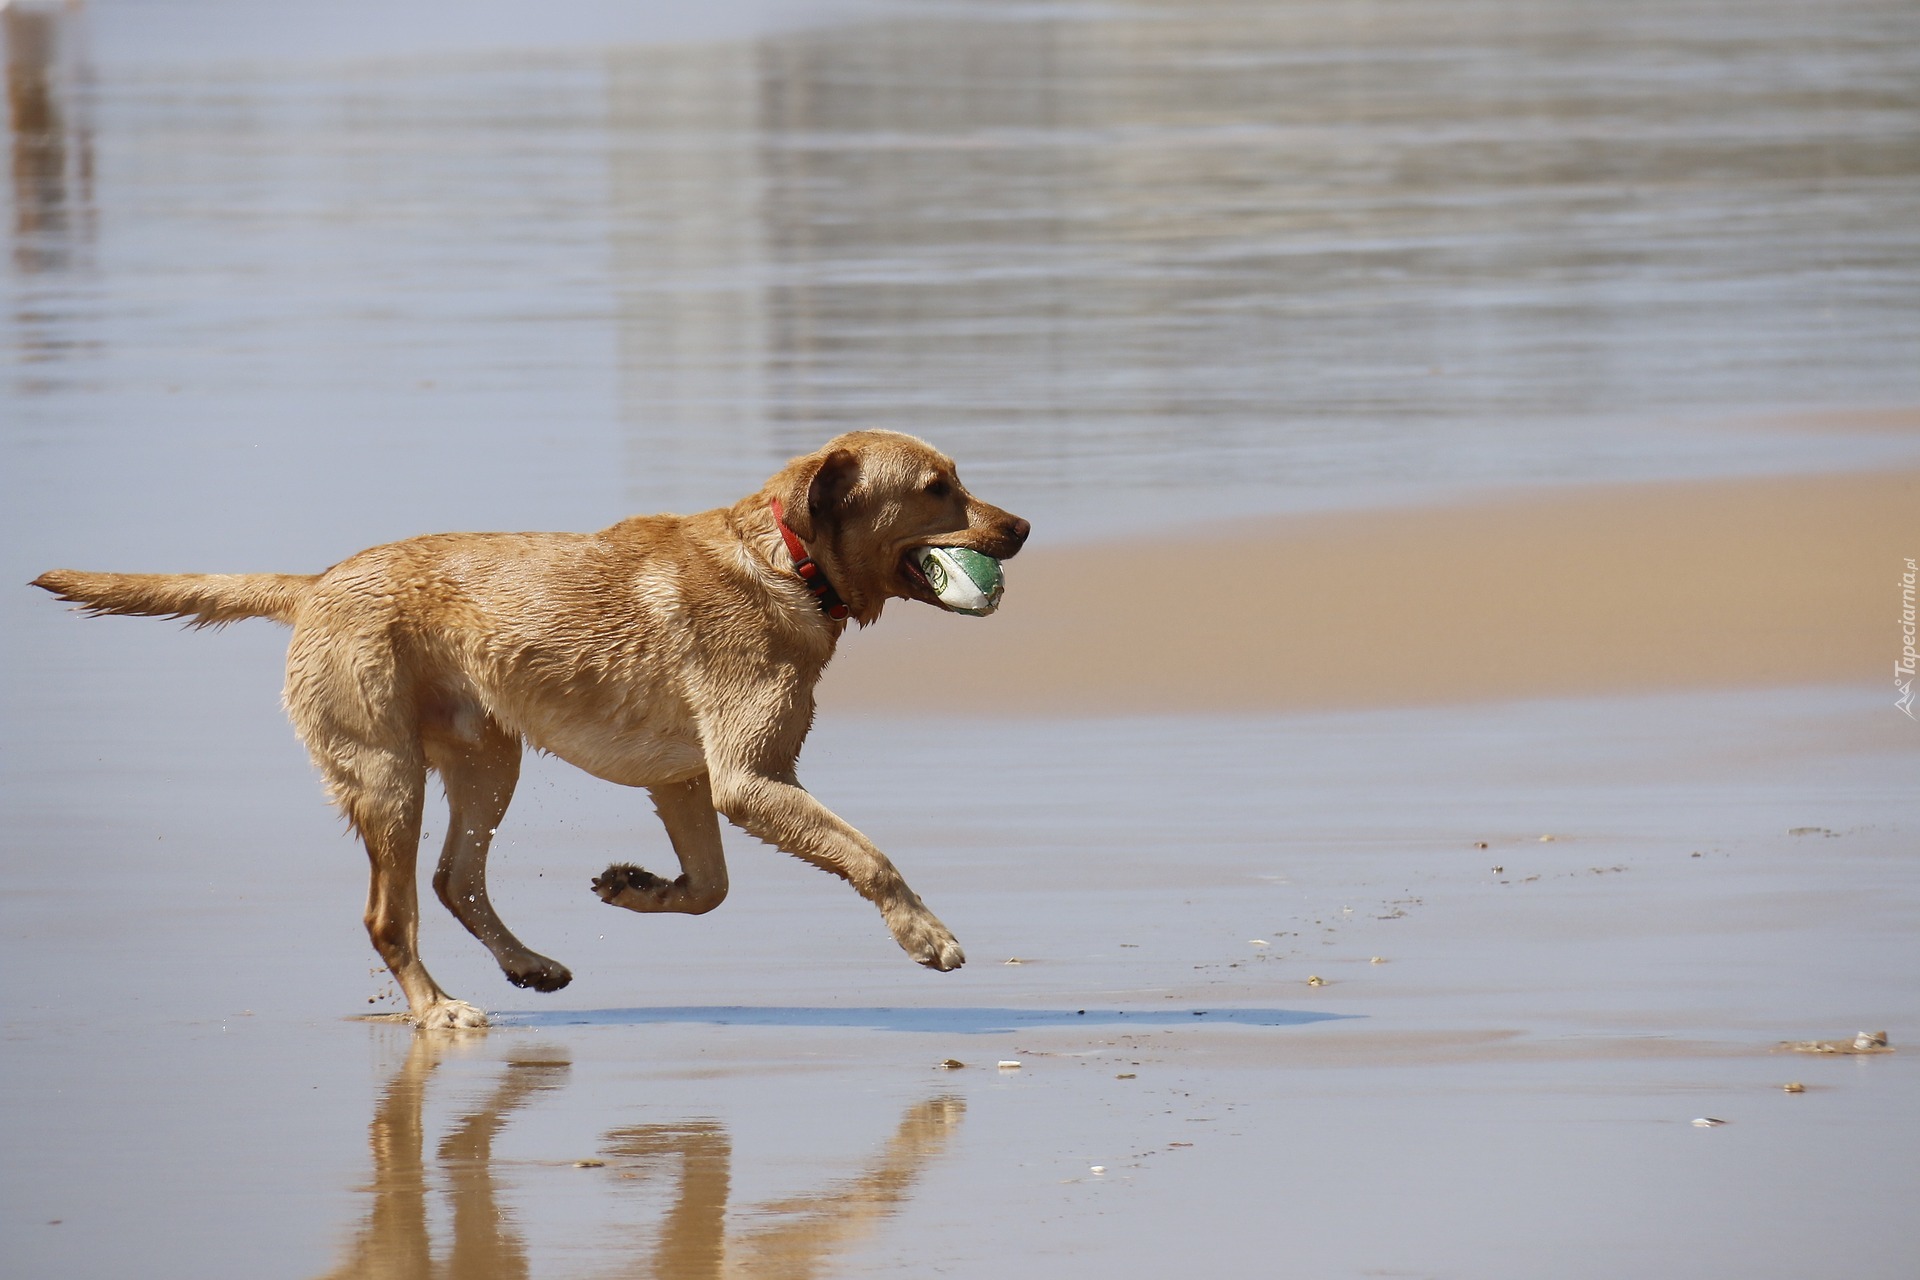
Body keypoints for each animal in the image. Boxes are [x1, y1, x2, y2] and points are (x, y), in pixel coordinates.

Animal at [33, 433, 1021, 1028]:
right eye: (937, 489)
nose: (1020, 527)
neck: (786, 559)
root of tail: (314, 584)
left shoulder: (686, 781)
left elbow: (709, 891)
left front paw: (638, 888)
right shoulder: (747, 779)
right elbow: (869, 856)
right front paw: (925, 936)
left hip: (486, 760)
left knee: (454, 879)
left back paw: (528, 965)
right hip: (388, 777)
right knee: (390, 915)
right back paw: (437, 1010)